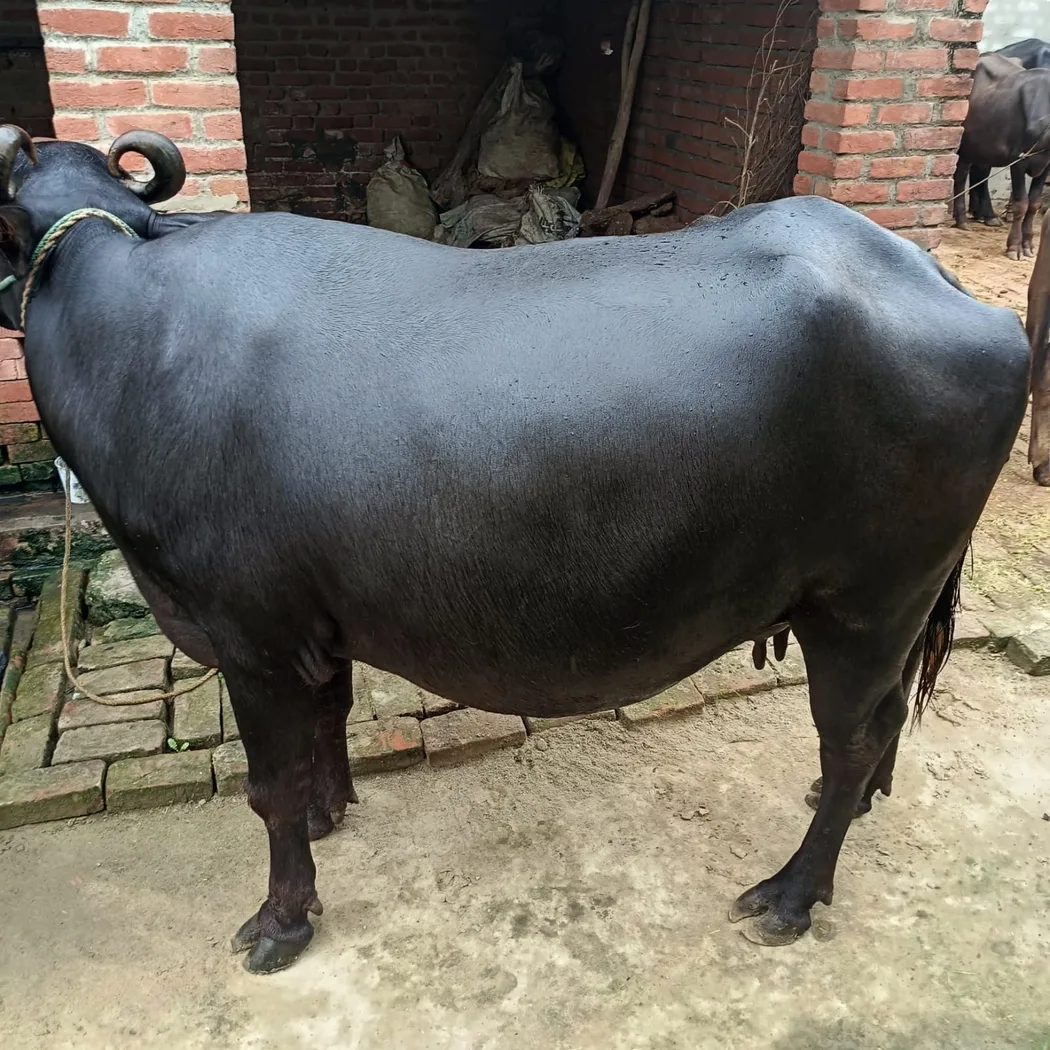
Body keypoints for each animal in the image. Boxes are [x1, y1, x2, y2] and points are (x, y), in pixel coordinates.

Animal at [0, 125, 1031, 973]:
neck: (131, 342)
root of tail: (949, 288)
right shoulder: (313, 627)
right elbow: (328, 721)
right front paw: (334, 813)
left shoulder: (250, 635)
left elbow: (270, 789)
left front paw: (281, 921)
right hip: (891, 611)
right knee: (886, 721)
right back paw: (851, 808)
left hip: (866, 603)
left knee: (854, 733)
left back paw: (792, 892)